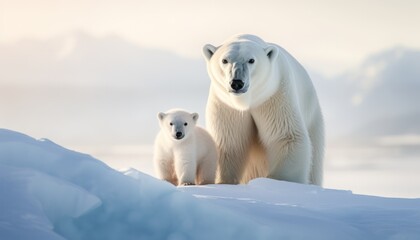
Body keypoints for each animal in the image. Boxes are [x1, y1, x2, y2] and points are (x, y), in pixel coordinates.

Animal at [202, 33, 324, 186]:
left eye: (251, 60)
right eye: (224, 60)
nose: (237, 83)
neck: (247, 101)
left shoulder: (275, 95)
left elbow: (286, 137)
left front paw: (278, 180)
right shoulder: (225, 105)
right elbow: (229, 143)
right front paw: (223, 181)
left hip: (313, 119)